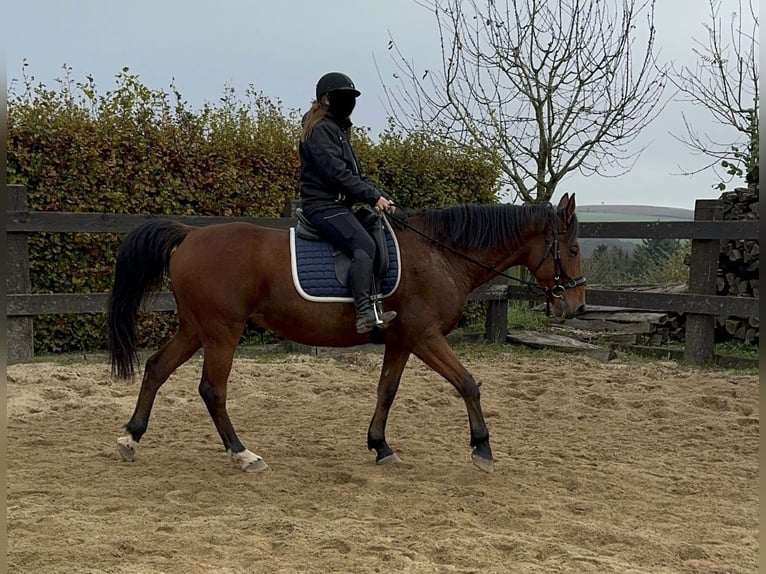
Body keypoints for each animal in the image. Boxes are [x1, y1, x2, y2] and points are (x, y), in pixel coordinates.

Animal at [109, 192, 588, 472]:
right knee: (212, 390)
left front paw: (380, 446)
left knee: (156, 368)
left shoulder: (401, 340)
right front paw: (482, 449)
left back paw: (131, 438)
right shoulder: (425, 336)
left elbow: (386, 391)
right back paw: (243, 453)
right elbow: (468, 384)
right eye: (573, 248)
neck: (439, 254)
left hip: (196, 328)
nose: (577, 305)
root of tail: (190, 234)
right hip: (222, 331)